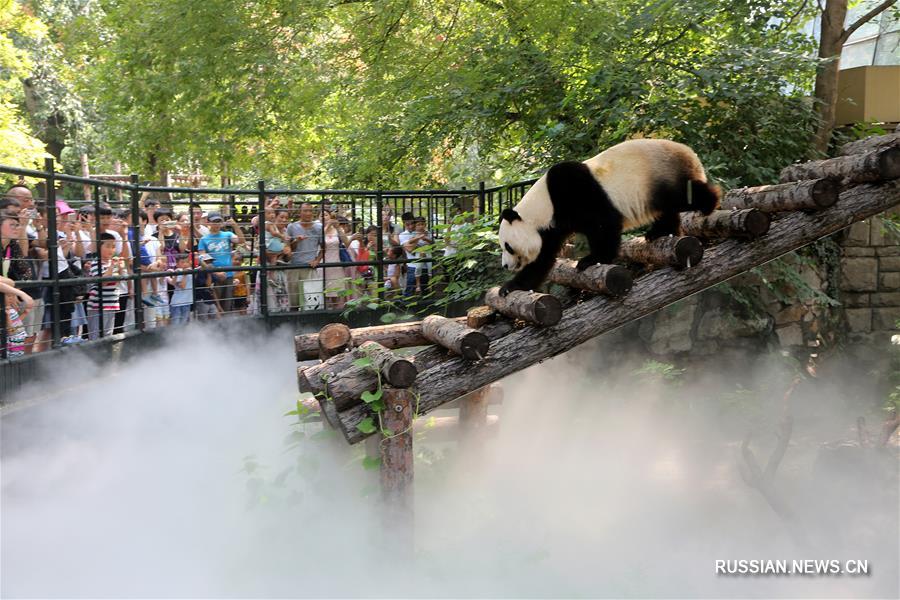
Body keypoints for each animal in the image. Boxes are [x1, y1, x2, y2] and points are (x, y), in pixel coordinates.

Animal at [500, 137, 716, 296]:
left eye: (507, 246)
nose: (505, 265)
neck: (543, 205)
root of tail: (689, 152)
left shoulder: (573, 191)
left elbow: (604, 224)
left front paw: (591, 260)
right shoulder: (552, 227)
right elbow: (542, 259)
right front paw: (509, 288)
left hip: (663, 176)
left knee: (684, 196)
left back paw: (709, 203)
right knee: (668, 209)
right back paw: (659, 232)